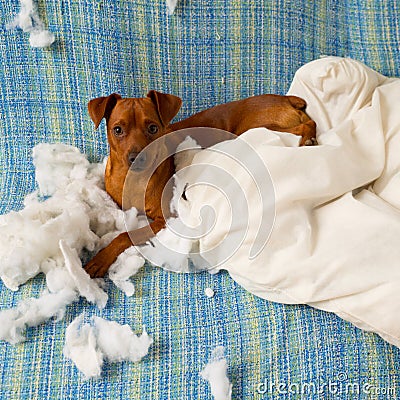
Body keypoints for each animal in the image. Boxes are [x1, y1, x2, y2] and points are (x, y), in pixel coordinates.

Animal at [85, 91, 316, 278]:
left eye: (152, 128)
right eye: (117, 130)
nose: (136, 158)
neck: (133, 179)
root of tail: (285, 98)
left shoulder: (165, 219)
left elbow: (124, 235)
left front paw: (101, 258)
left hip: (259, 128)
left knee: (306, 125)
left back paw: (307, 139)